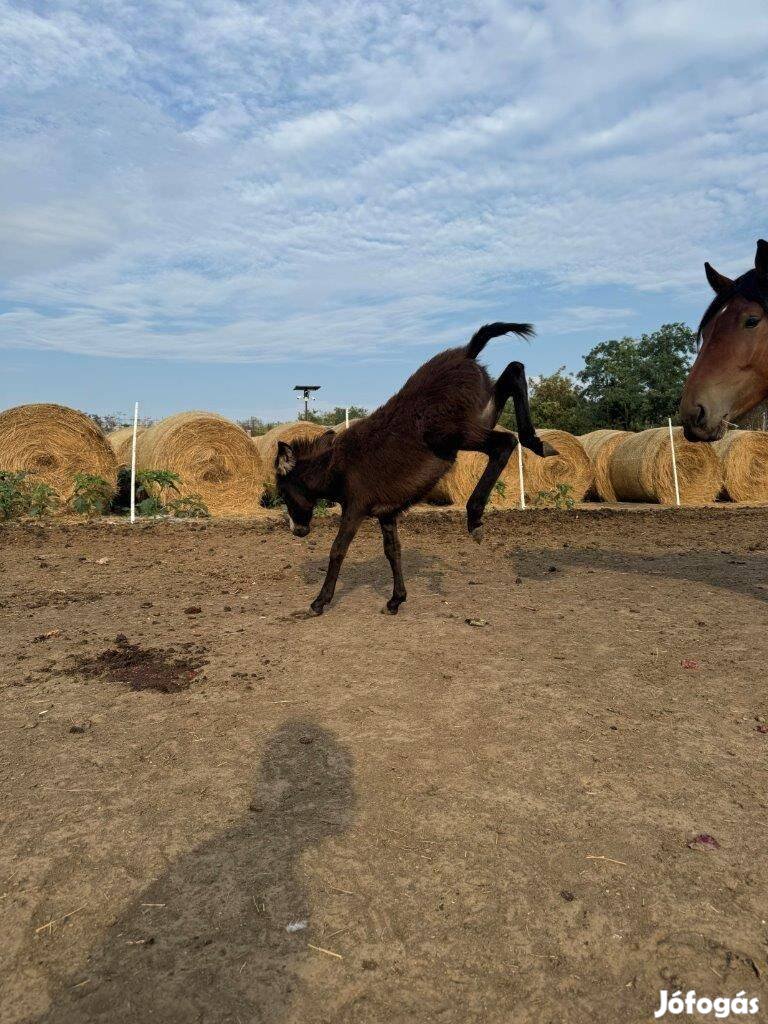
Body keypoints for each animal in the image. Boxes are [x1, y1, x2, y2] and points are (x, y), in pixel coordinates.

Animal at [274, 323, 552, 614]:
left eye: (282, 492)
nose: (297, 531)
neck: (337, 467)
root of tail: (466, 352)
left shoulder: (355, 508)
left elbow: (338, 549)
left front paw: (319, 602)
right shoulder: (386, 513)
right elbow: (392, 551)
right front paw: (396, 599)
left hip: (451, 434)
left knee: (504, 443)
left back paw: (475, 516)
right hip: (481, 415)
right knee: (514, 371)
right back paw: (537, 443)